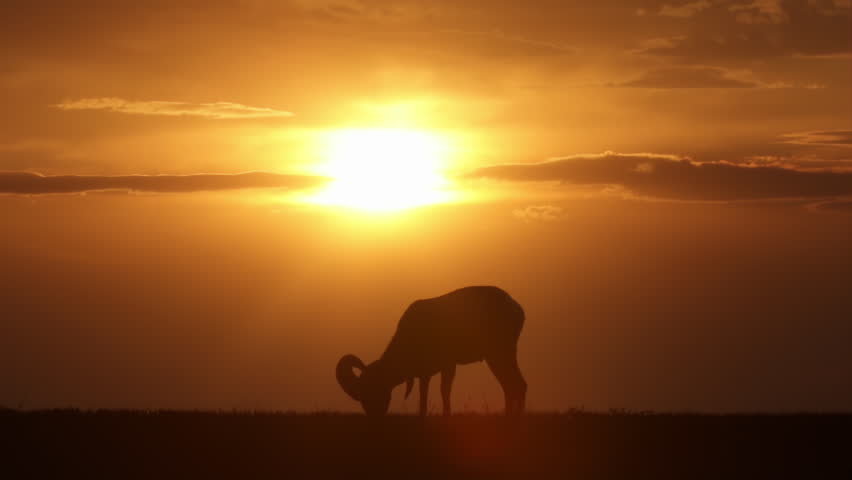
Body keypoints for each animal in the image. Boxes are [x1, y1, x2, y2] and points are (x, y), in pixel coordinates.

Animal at [336, 286, 527, 416]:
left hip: (500, 355)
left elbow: (444, 391)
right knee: (510, 386)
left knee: (517, 384)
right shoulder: (425, 375)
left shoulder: (448, 366)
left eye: (373, 388)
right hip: (497, 358)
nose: (374, 415)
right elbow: (423, 396)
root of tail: (516, 308)